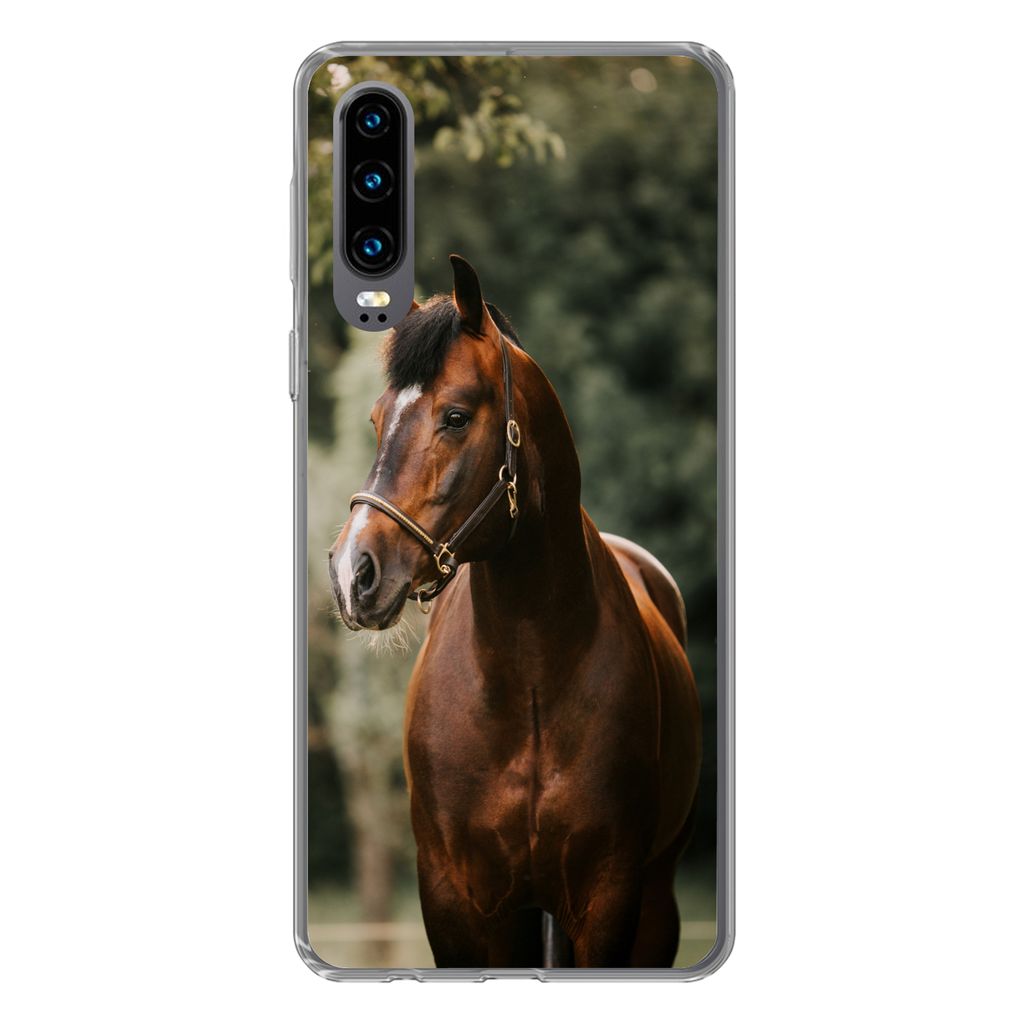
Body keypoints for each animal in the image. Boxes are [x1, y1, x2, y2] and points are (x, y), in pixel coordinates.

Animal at [328, 254, 701, 968]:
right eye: (376, 420)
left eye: (454, 416)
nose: (352, 572)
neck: (529, 677)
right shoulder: (455, 903)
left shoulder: (608, 899)